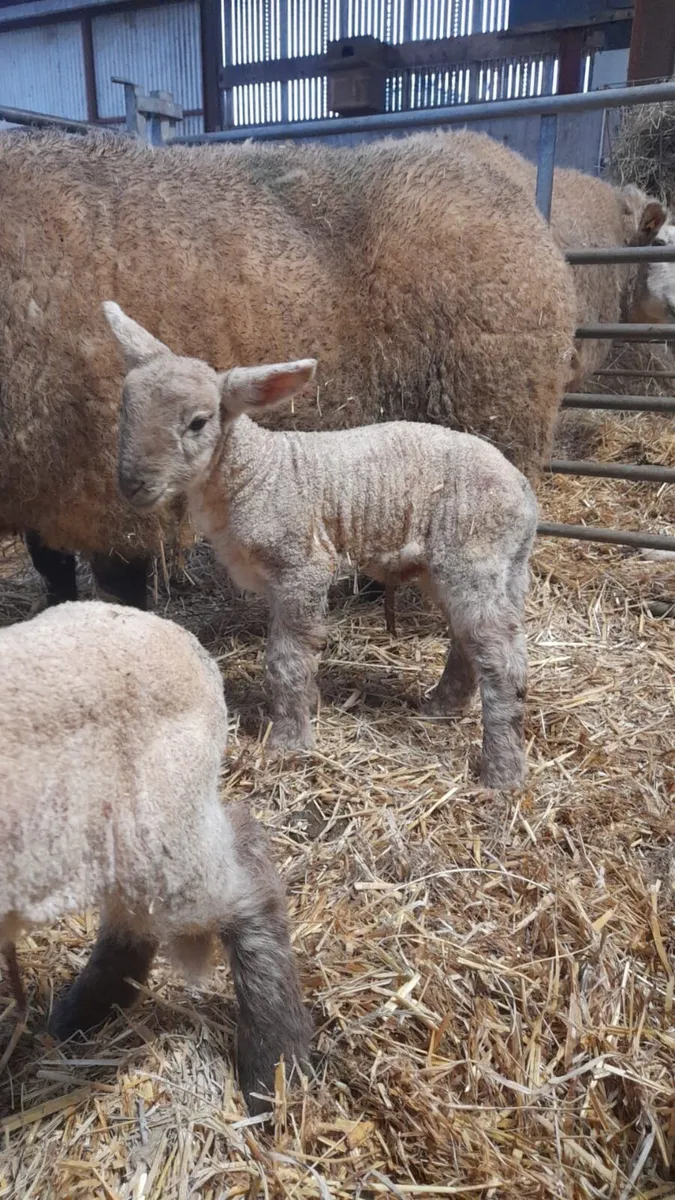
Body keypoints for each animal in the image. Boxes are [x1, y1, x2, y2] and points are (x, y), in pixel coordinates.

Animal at [0, 127, 576, 612]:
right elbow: (51, 567)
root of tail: (508, 189)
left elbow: (119, 586)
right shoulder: (42, 483)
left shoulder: (106, 491)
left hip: (494, 418)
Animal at [0, 600, 310, 1114]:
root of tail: (181, 638)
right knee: (133, 920)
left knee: (247, 873)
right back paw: (84, 1011)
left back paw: (272, 1068)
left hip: (165, 827)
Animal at [105, 303, 538, 791]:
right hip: (492, 567)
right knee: (471, 642)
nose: (132, 484)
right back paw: (442, 708)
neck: (255, 472)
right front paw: (309, 707)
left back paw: (502, 772)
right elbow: (302, 655)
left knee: (501, 659)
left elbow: (286, 660)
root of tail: (522, 489)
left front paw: (288, 741)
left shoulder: (301, 566)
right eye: (125, 411)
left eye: (198, 422)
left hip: (472, 555)